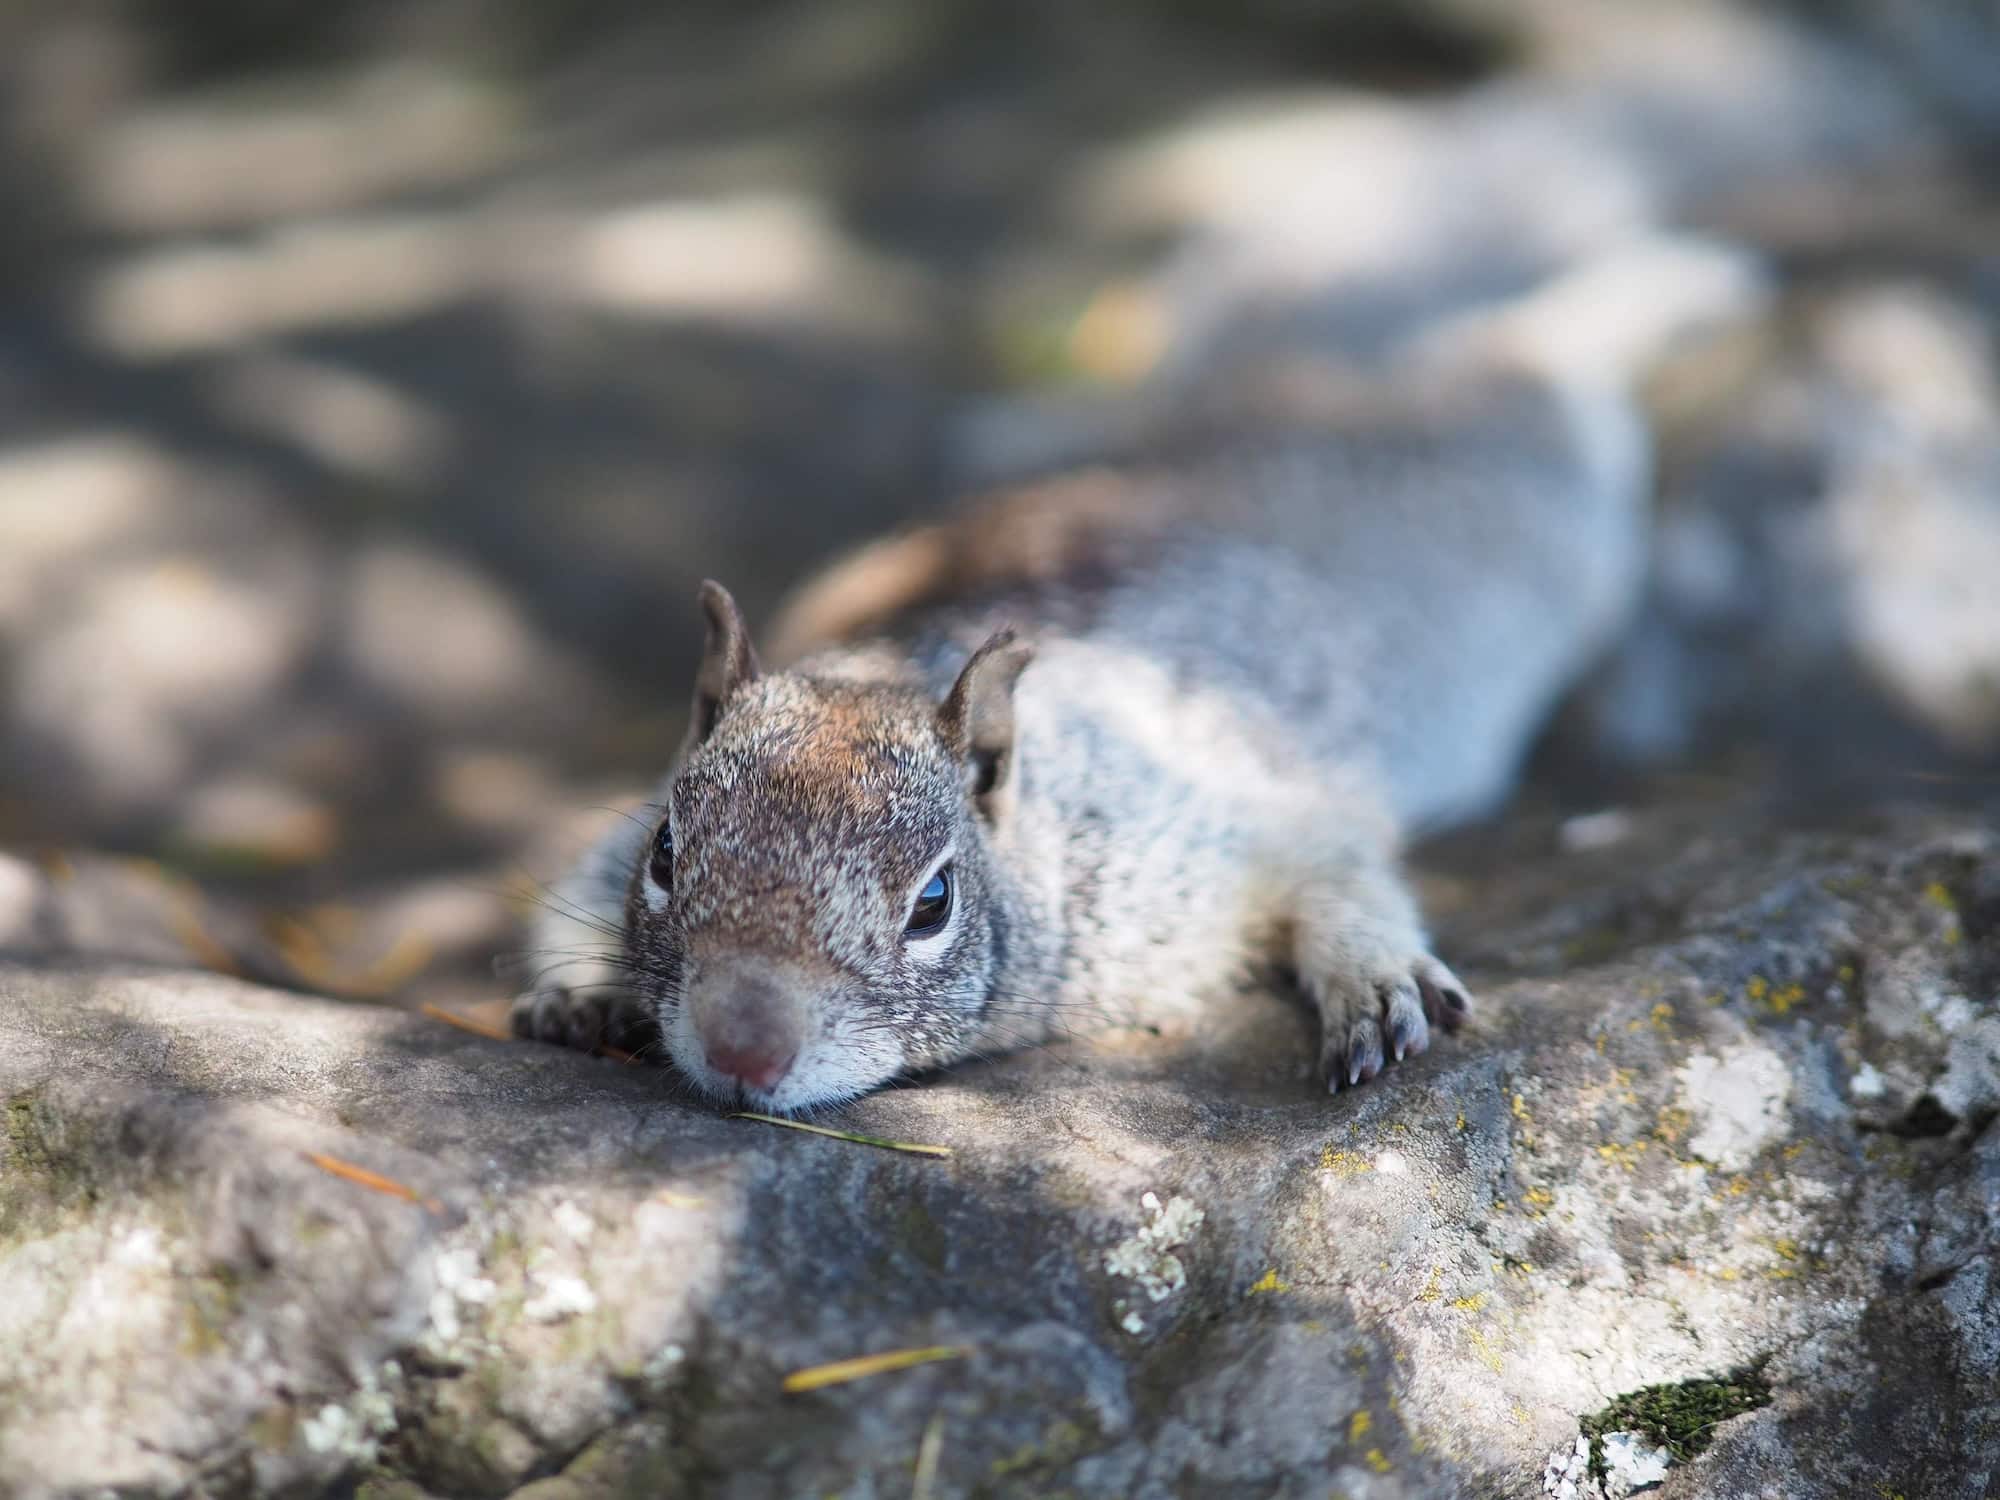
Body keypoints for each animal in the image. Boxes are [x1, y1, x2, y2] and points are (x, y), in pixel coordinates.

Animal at [520, 238, 1768, 1120]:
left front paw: (1372, 976)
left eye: (932, 904)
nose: (742, 1046)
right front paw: (574, 991)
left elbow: (1335, 865)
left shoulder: (1220, 816)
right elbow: (571, 875)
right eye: (667, 855)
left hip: (1550, 480)